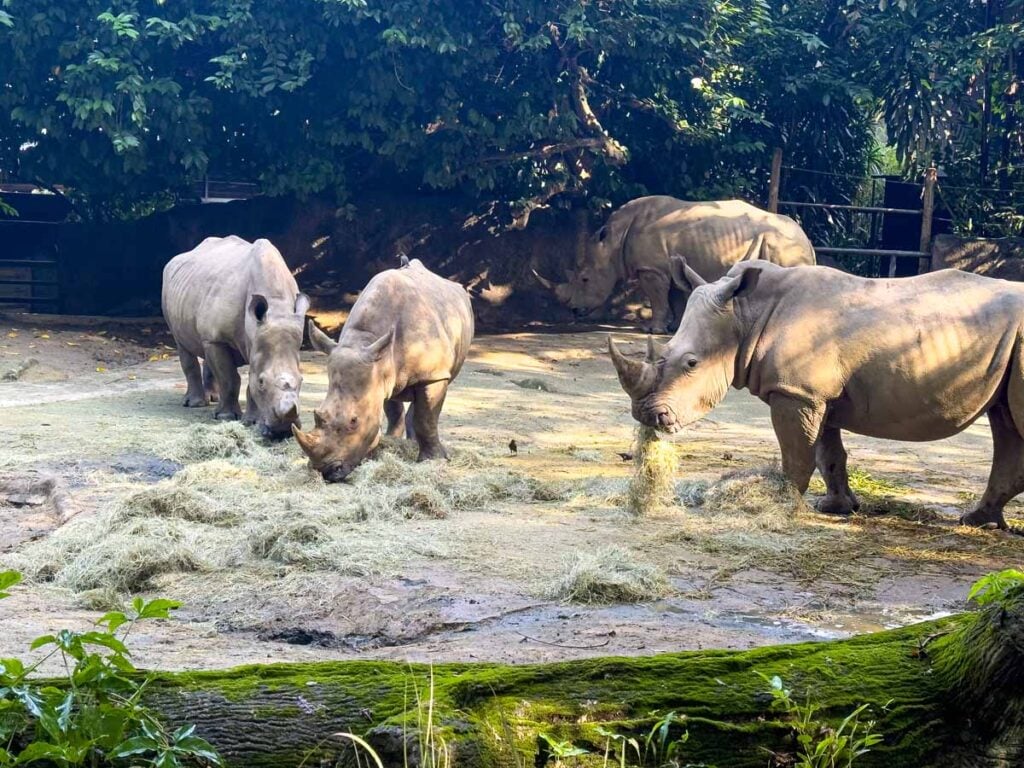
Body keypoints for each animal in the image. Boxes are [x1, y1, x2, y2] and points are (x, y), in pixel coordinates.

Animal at [162, 236, 309, 439]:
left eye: (302, 380)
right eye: (262, 382)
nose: (283, 431)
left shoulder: (254, 341)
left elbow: (245, 381)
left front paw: (252, 421)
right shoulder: (219, 338)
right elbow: (230, 378)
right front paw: (227, 417)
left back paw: (214, 398)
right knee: (183, 345)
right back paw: (195, 404)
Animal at [294, 258, 474, 482]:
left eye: (354, 421)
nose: (325, 471)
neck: (365, 340)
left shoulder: (433, 374)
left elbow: (427, 417)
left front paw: (433, 461)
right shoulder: (380, 369)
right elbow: (392, 410)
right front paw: (385, 445)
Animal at [536, 196, 816, 334]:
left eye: (584, 279)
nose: (574, 310)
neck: (612, 242)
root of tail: (808, 239)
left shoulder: (651, 269)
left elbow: (658, 297)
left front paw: (652, 330)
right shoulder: (668, 265)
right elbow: (676, 297)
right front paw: (674, 328)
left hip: (784, 243)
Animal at [610, 258, 1024, 530]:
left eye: (691, 363)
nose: (647, 416)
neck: (745, 313)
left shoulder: (796, 393)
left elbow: (797, 453)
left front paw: (782, 503)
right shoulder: (815, 394)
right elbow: (828, 454)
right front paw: (837, 508)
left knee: (1012, 425)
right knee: (1006, 422)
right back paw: (979, 521)